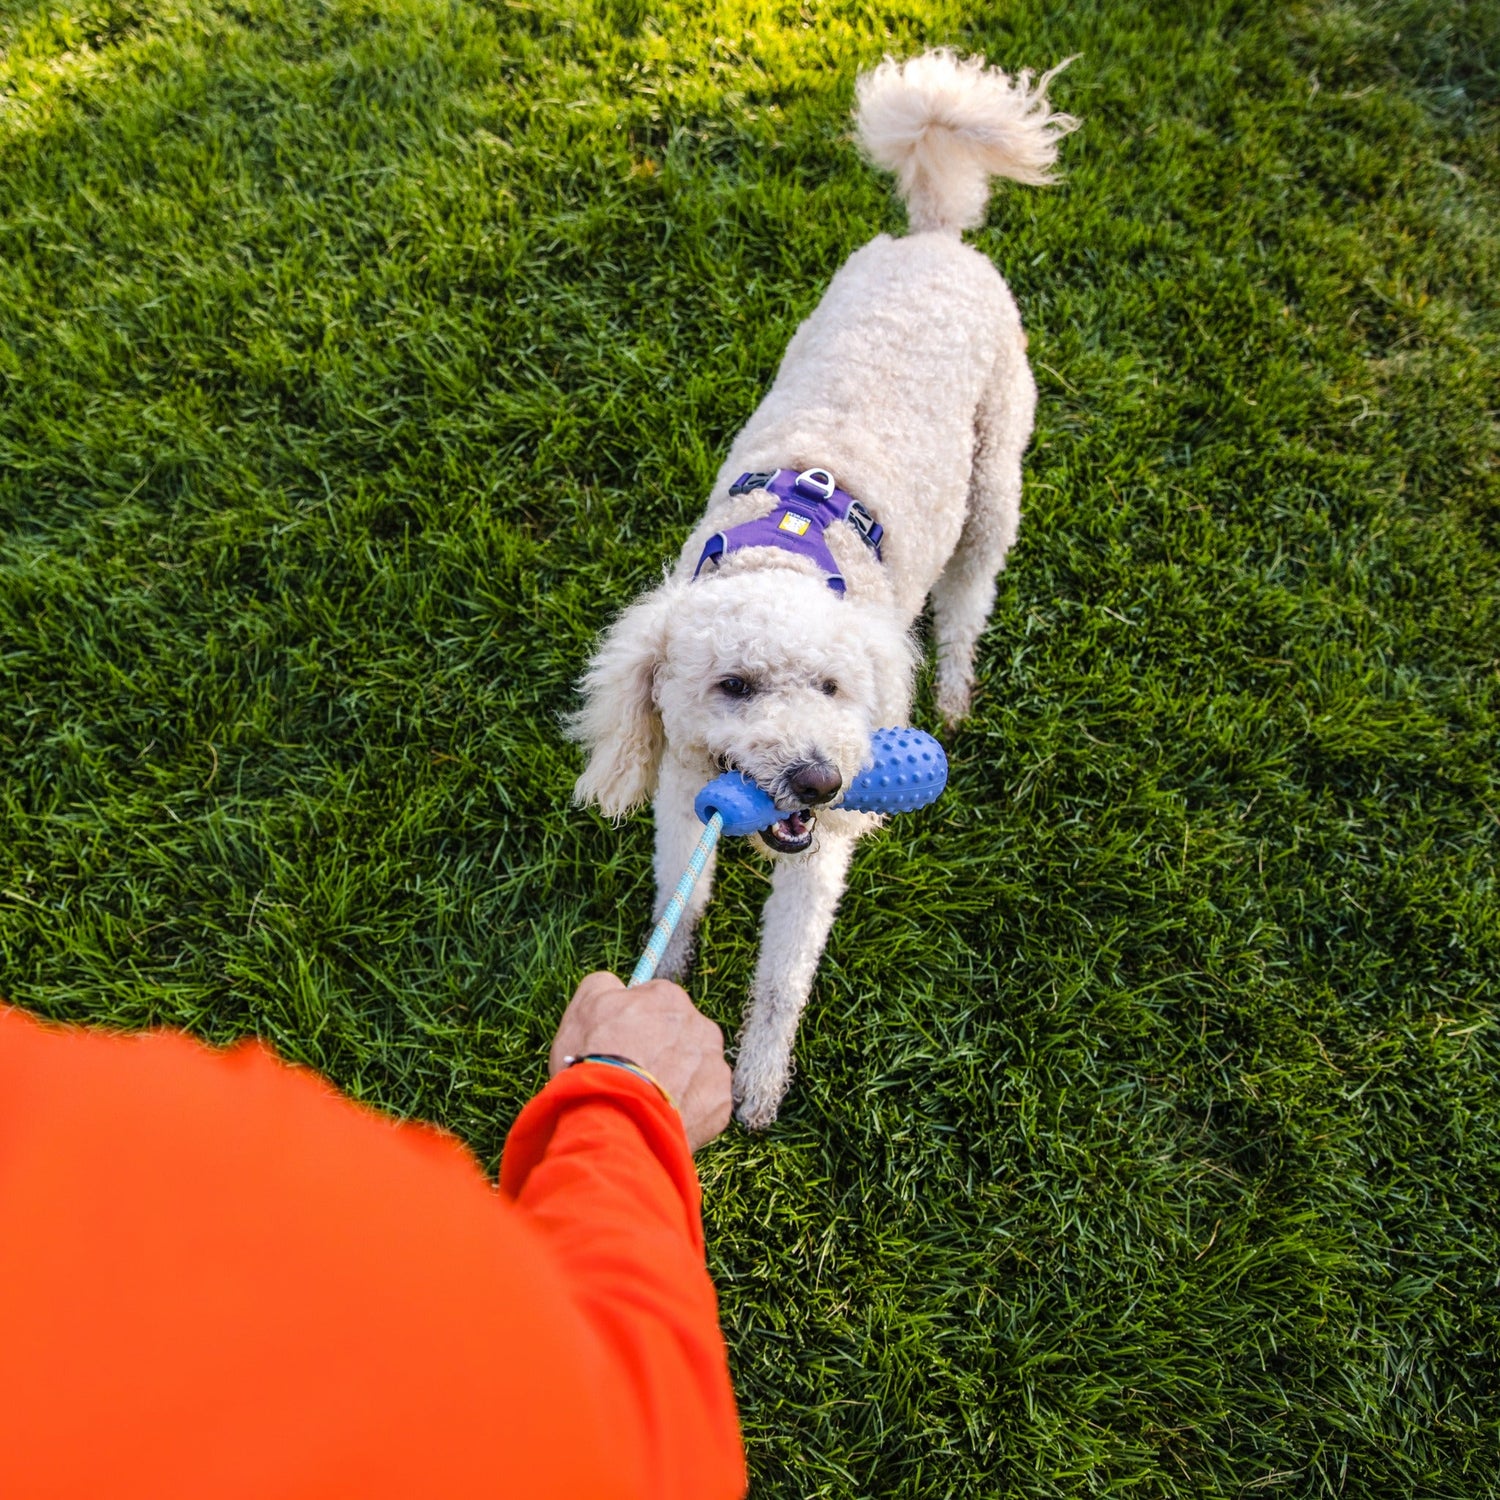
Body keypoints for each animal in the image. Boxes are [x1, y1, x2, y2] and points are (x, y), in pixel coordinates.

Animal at [567, 49, 1074, 1128]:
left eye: (838, 691)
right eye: (734, 687)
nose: (820, 781)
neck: (789, 552)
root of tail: (934, 238)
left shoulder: (818, 858)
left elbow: (783, 975)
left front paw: (757, 1086)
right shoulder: (683, 790)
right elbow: (682, 900)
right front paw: (665, 988)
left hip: (995, 481)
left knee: (969, 598)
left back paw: (956, 689)